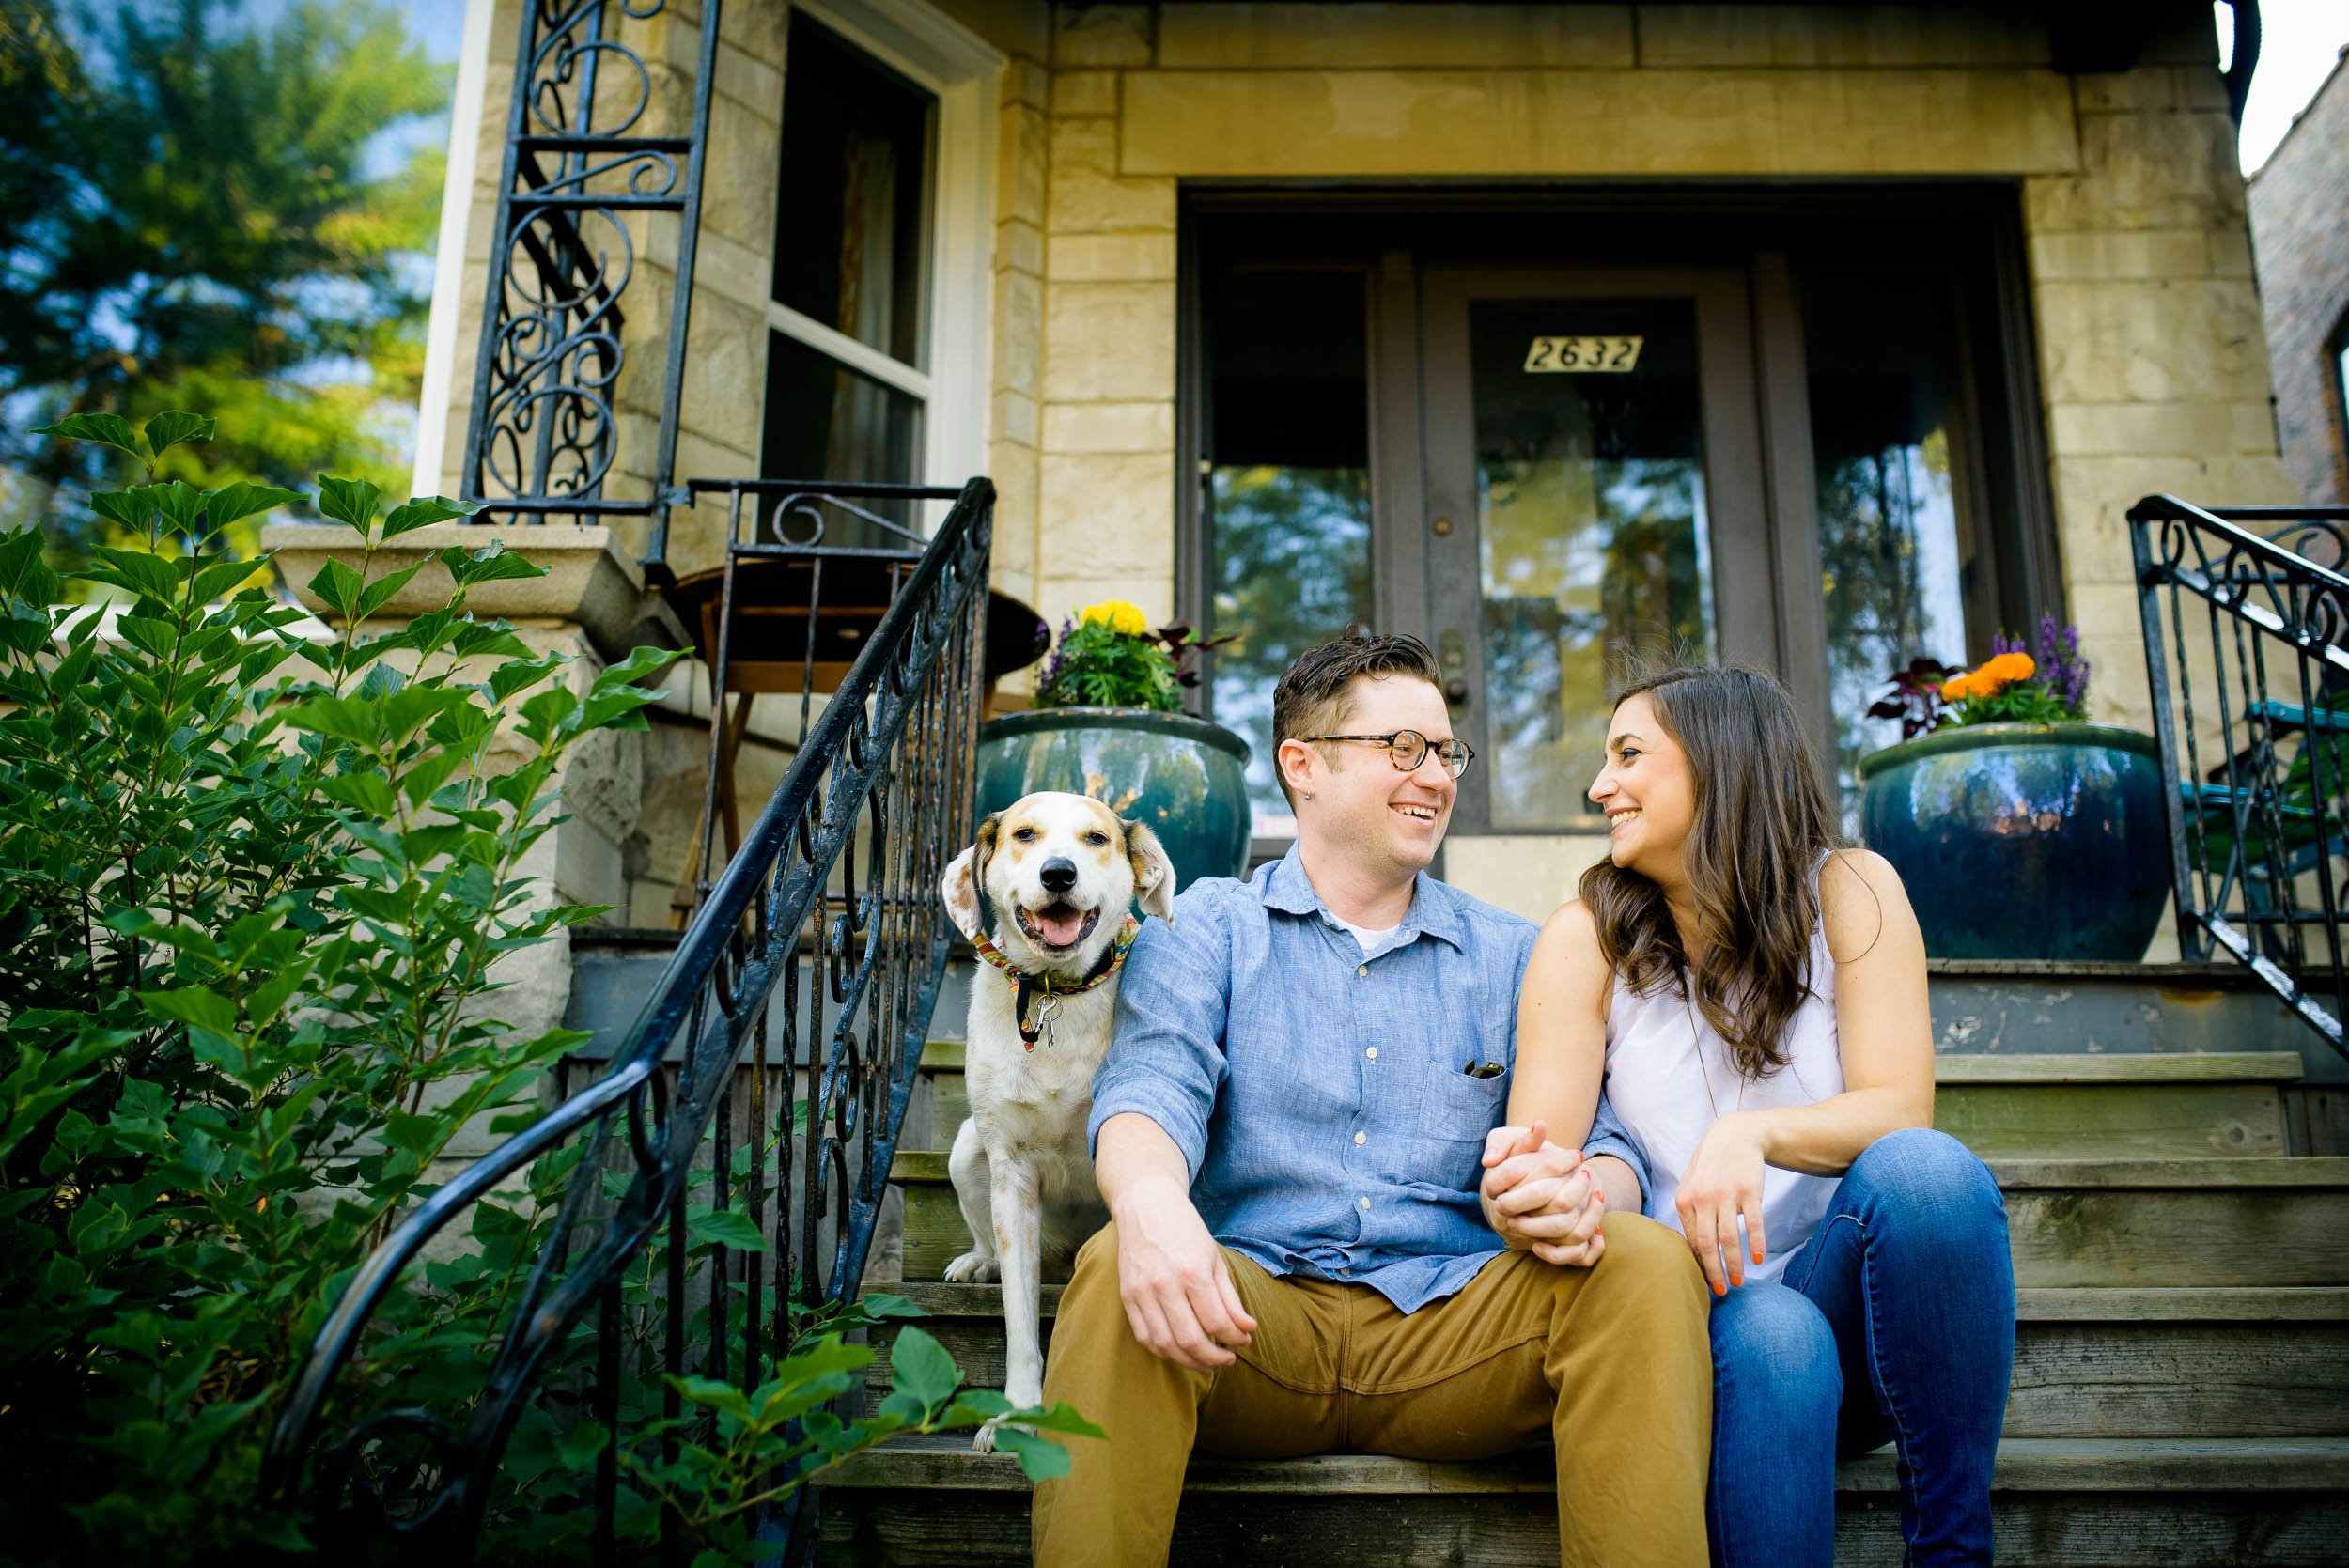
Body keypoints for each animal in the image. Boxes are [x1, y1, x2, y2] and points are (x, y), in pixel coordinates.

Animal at [935, 788, 1174, 1455]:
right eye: (1025, 835)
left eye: (1096, 838)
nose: (1058, 874)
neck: (1054, 992)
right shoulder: (1011, 1175)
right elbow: (1020, 1327)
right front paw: (1015, 1418)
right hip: (966, 1152)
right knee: (990, 1243)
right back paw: (977, 1262)